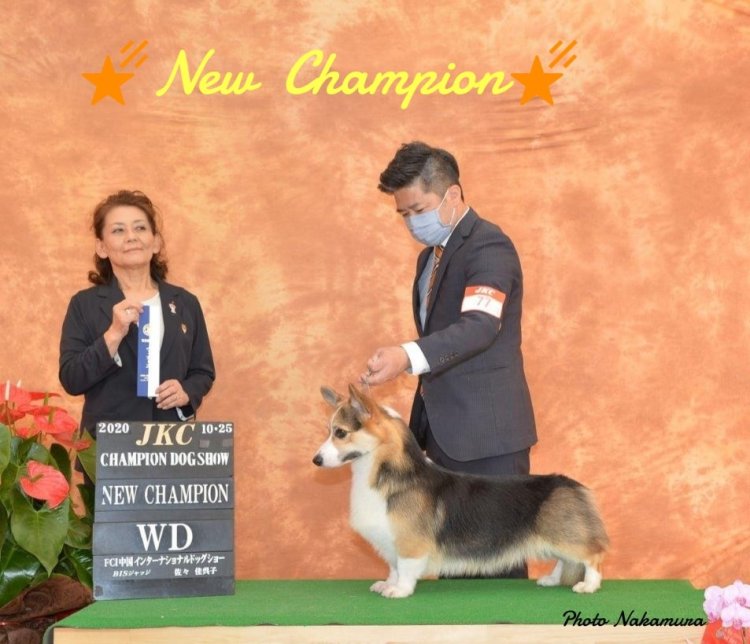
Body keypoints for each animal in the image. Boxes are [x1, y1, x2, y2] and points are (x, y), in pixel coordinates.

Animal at [312, 384, 609, 599]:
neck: (387, 473)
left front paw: (400, 591)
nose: (316, 460)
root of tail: (573, 485)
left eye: (340, 433)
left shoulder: (410, 543)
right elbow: (393, 567)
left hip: (566, 536)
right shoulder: (391, 540)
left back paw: (588, 586)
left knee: (592, 556)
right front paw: (387, 584)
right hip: (554, 540)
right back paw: (552, 580)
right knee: (565, 561)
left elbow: (405, 568)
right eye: (329, 431)